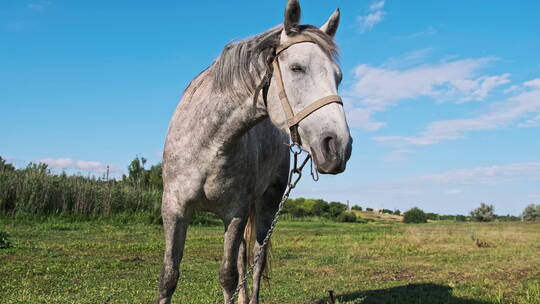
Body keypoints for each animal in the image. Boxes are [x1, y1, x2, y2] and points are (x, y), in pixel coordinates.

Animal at [158, 1, 352, 302]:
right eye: (297, 68)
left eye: (338, 77)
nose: (338, 146)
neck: (209, 144)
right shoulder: (174, 209)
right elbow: (169, 276)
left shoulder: (234, 213)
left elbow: (227, 276)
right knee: (242, 257)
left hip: (266, 205)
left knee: (256, 260)